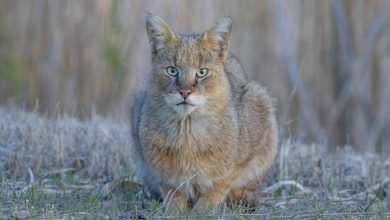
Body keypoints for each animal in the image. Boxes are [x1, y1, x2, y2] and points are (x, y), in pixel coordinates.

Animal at [131, 14, 278, 211]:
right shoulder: (160, 172)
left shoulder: (245, 157)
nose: (185, 91)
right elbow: (172, 192)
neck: (187, 132)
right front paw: (176, 209)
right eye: (172, 70)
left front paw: (203, 209)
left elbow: (220, 185)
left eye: (201, 72)